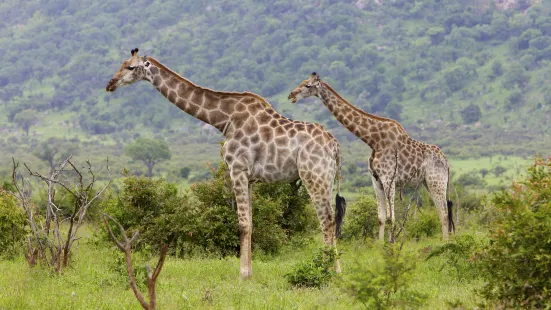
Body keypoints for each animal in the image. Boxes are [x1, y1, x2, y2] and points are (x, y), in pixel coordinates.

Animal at [286, 73, 454, 242]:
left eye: (307, 85)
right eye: (302, 82)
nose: (291, 95)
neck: (373, 140)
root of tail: (446, 163)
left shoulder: (389, 178)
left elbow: (391, 217)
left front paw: (391, 243)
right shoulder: (376, 180)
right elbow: (381, 217)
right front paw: (379, 244)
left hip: (436, 181)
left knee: (444, 213)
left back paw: (445, 243)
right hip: (428, 182)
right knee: (441, 212)